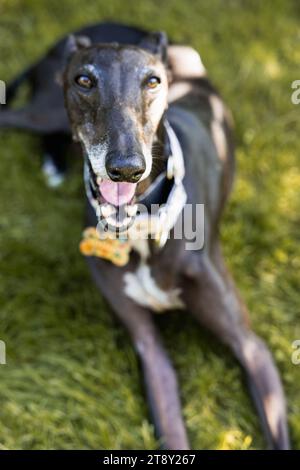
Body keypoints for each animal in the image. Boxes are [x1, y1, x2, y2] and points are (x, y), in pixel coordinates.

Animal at [0, 21, 290, 448]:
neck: (144, 226)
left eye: (153, 81)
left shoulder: (252, 348)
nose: (126, 168)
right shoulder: (151, 352)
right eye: (84, 79)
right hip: (42, 111)